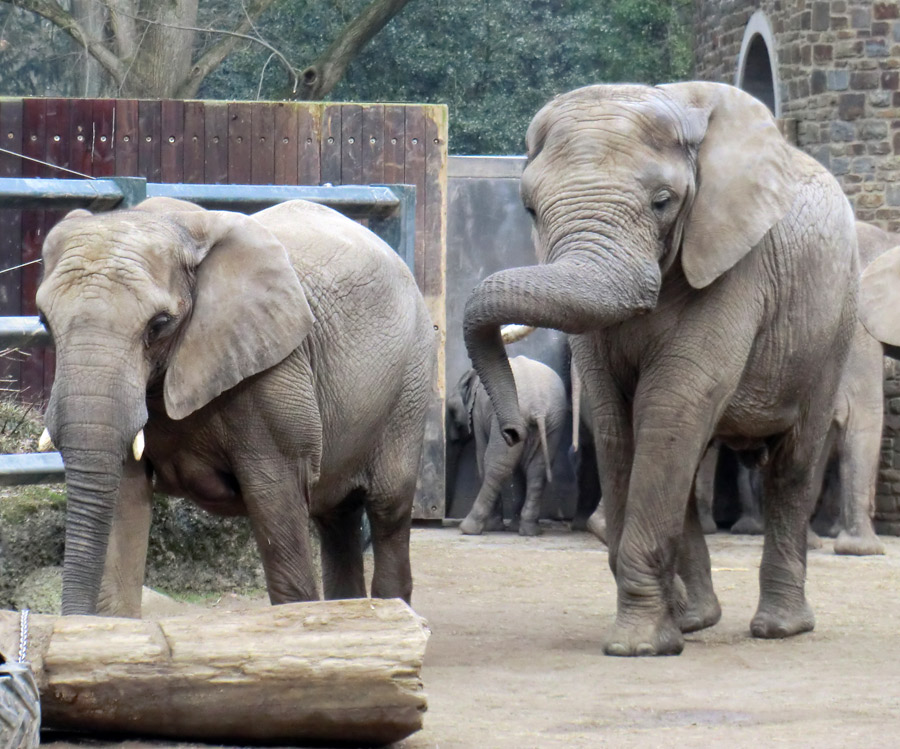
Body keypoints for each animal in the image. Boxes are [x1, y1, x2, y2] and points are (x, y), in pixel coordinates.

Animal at [37, 196, 438, 616]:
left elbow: (280, 521)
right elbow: (123, 508)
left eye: (159, 324)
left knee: (388, 507)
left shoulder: (275, 373)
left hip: (410, 382)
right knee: (335, 516)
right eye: (44, 321)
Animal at [448, 356, 568, 536]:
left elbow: (482, 457)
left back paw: (469, 528)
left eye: (452, 411)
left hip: (511, 419)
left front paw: (493, 527)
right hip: (554, 423)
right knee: (537, 470)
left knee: (497, 466)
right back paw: (529, 530)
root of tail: (538, 407)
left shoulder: (478, 413)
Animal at [468, 80, 860, 656]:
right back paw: (697, 619)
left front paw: (637, 647)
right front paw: (661, 627)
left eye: (662, 202)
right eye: (530, 209)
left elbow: (671, 406)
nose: (515, 429)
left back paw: (779, 629)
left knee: (793, 463)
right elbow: (617, 421)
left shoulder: (735, 267)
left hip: (833, 326)